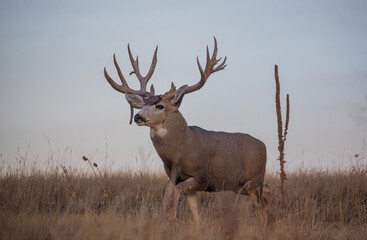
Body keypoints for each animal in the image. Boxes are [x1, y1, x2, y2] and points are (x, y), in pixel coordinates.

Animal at [103, 38, 270, 223]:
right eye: (144, 104)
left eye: (160, 106)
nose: (137, 116)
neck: (181, 149)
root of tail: (263, 145)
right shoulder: (174, 176)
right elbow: (189, 210)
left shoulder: (202, 177)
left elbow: (176, 191)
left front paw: (172, 217)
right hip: (241, 185)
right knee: (267, 193)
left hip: (254, 180)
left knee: (262, 205)